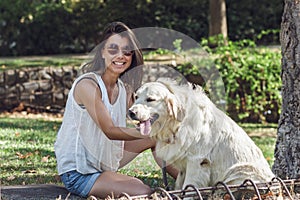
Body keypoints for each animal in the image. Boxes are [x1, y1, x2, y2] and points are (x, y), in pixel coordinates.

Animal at [129, 78, 274, 189]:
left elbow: (189, 187)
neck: (176, 125)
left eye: (150, 99)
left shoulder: (196, 161)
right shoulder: (183, 167)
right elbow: (180, 185)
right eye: (136, 97)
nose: (131, 112)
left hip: (239, 172)